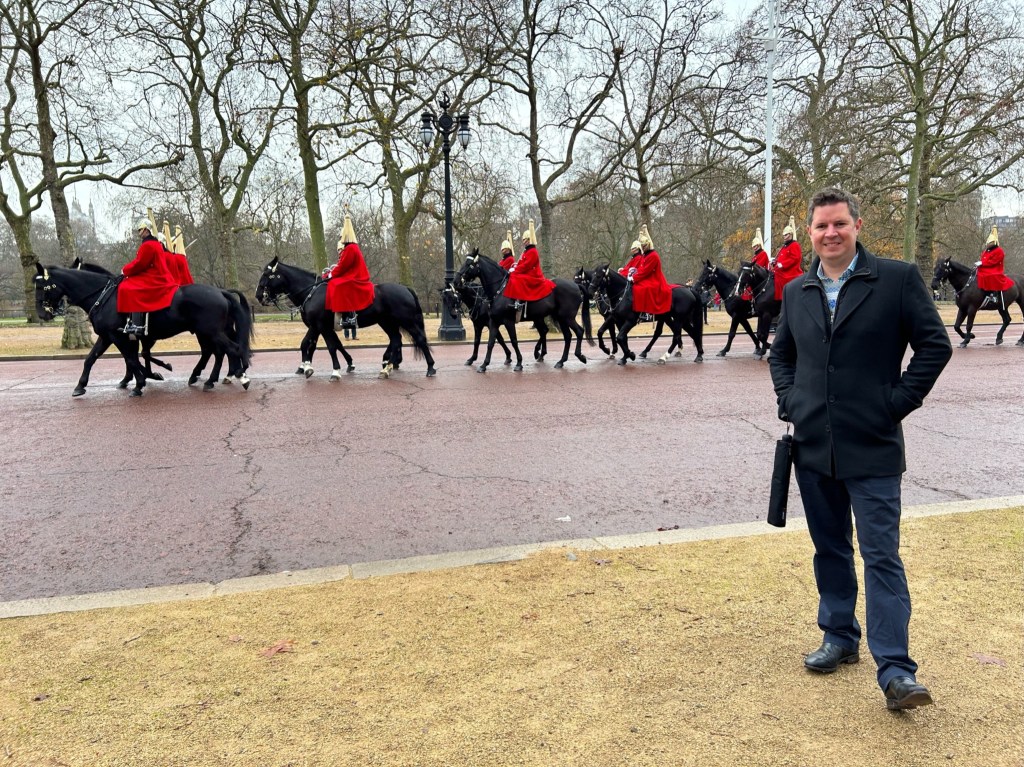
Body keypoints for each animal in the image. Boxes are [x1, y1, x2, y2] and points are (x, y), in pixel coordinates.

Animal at [35, 263, 253, 396]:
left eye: (42, 286)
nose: (41, 314)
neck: (104, 296)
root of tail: (221, 291)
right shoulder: (109, 336)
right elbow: (92, 358)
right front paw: (80, 385)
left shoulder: (118, 336)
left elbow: (132, 359)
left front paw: (141, 382)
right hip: (207, 332)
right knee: (218, 351)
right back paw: (212, 378)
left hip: (210, 331)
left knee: (229, 349)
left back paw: (237, 376)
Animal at [256, 257, 436, 378]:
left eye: (267, 274)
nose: (258, 296)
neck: (311, 292)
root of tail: (405, 288)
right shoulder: (316, 326)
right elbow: (311, 344)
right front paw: (307, 367)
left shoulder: (321, 325)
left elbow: (329, 346)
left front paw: (334, 370)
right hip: (387, 322)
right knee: (396, 340)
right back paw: (387, 368)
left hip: (407, 321)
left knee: (419, 339)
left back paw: (429, 367)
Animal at [453, 250, 591, 372]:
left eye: (469, 264)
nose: (456, 281)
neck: (499, 290)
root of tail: (575, 285)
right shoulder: (493, 322)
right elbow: (491, 342)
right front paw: (484, 364)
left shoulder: (507, 321)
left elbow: (513, 341)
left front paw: (518, 362)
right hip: (558, 318)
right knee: (565, 335)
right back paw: (560, 361)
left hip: (566, 317)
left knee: (578, 331)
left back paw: (579, 356)